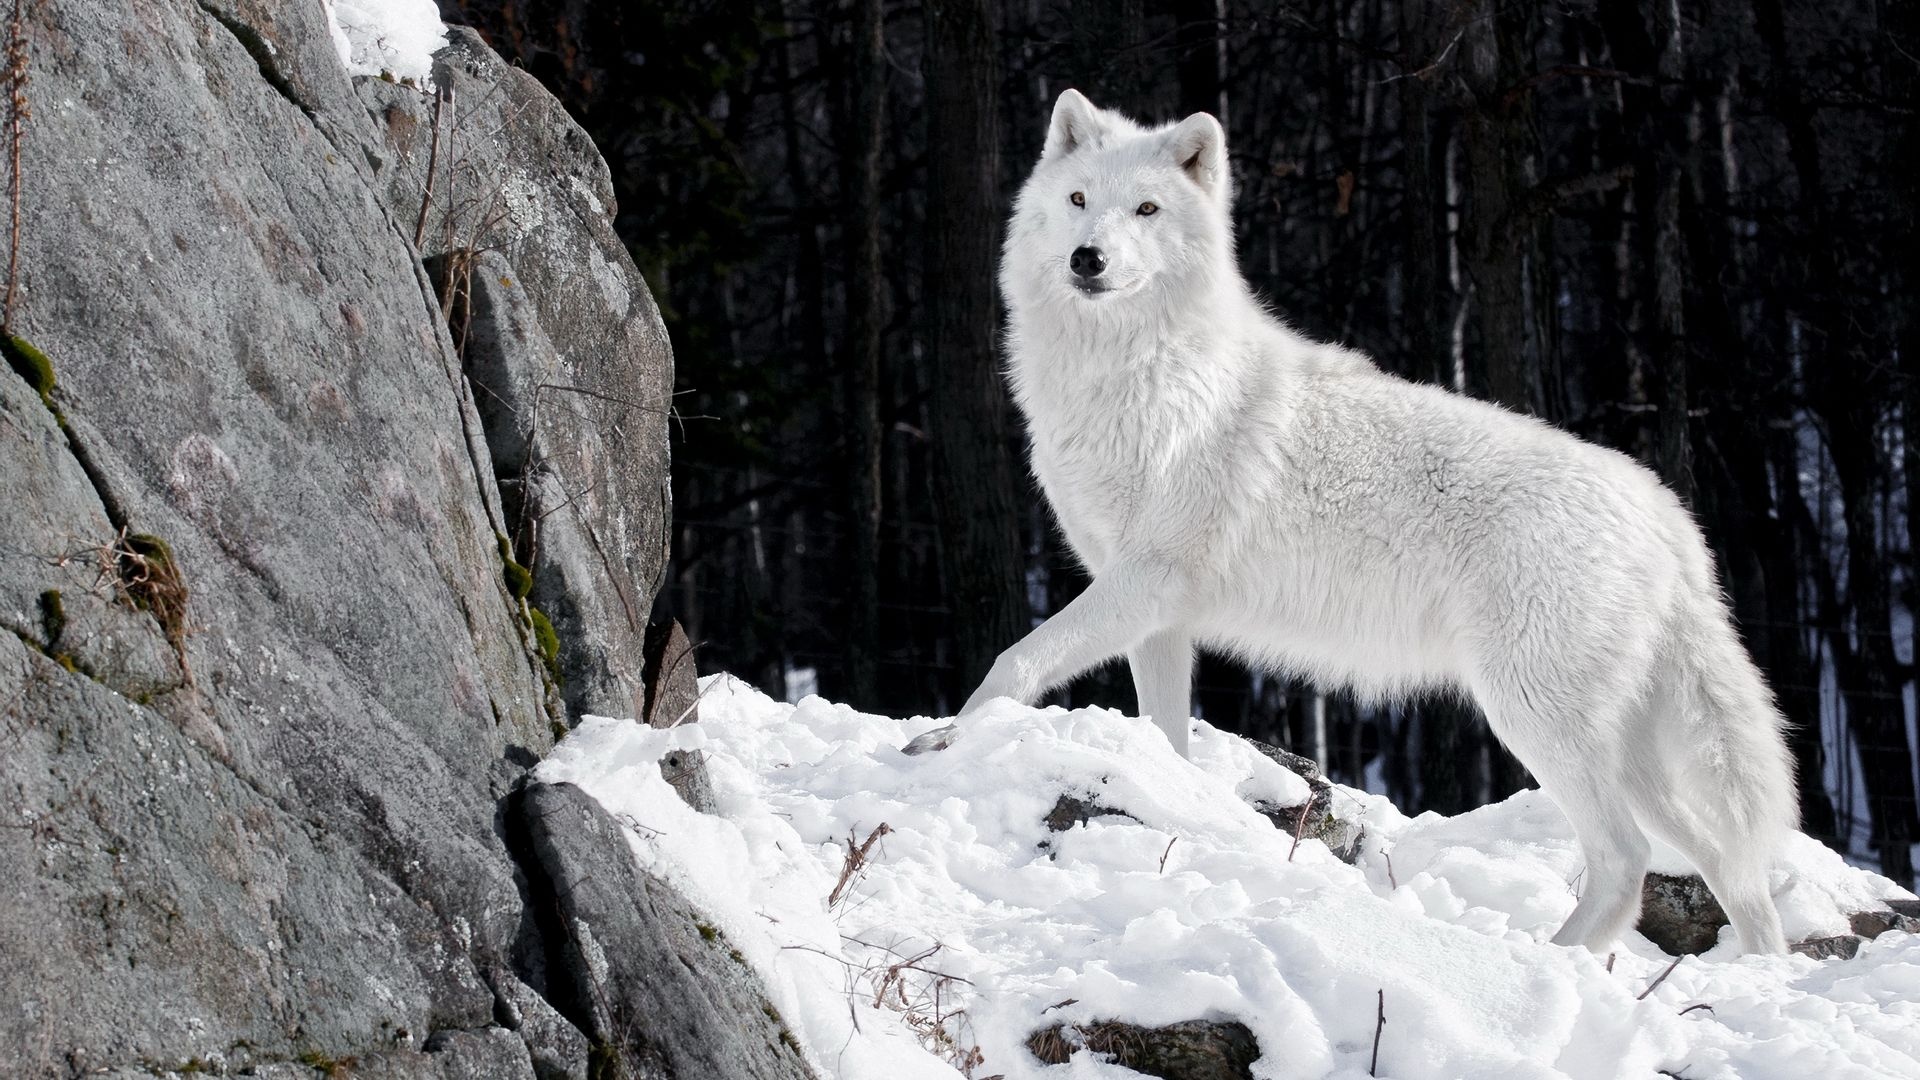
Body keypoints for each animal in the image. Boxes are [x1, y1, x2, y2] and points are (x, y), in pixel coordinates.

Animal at [906, 90, 1789, 949]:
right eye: (1080, 200)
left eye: (1147, 209)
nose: (1087, 258)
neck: (1134, 376)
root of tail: (1667, 512)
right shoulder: (1158, 617)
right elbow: (1166, 737)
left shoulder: (1144, 581)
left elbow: (1013, 661)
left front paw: (940, 742)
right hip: (1626, 752)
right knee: (1728, 865)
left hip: (1533, 717)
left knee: (1626, 859)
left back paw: (1543, 965)